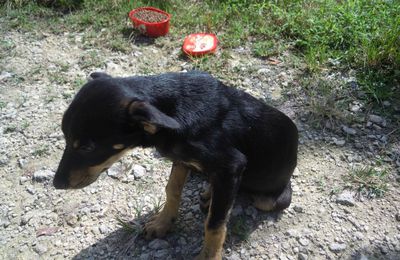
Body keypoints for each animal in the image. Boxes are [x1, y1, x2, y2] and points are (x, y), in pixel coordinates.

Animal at [53, 71, 296, 260]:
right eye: (65, 135)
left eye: (87, 147)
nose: (56, 184)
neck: (172, 113)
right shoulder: (181, 159)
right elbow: (172, 189)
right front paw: (162, 223)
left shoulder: (231, 166)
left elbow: (215, 224)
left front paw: (209, 256)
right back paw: (209, 194)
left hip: (271, 198)